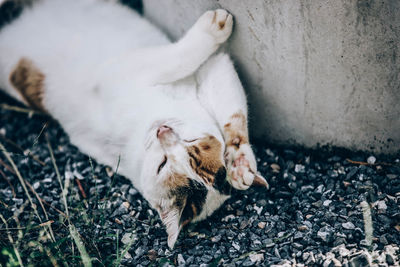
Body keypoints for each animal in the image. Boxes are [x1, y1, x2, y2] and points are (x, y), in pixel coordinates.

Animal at [0, 0, 268, 249]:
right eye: (163, 163)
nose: (163, 131)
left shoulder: (193, 70)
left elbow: (229, 111)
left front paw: (240, 164)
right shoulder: (145, 68)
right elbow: (183, 62)